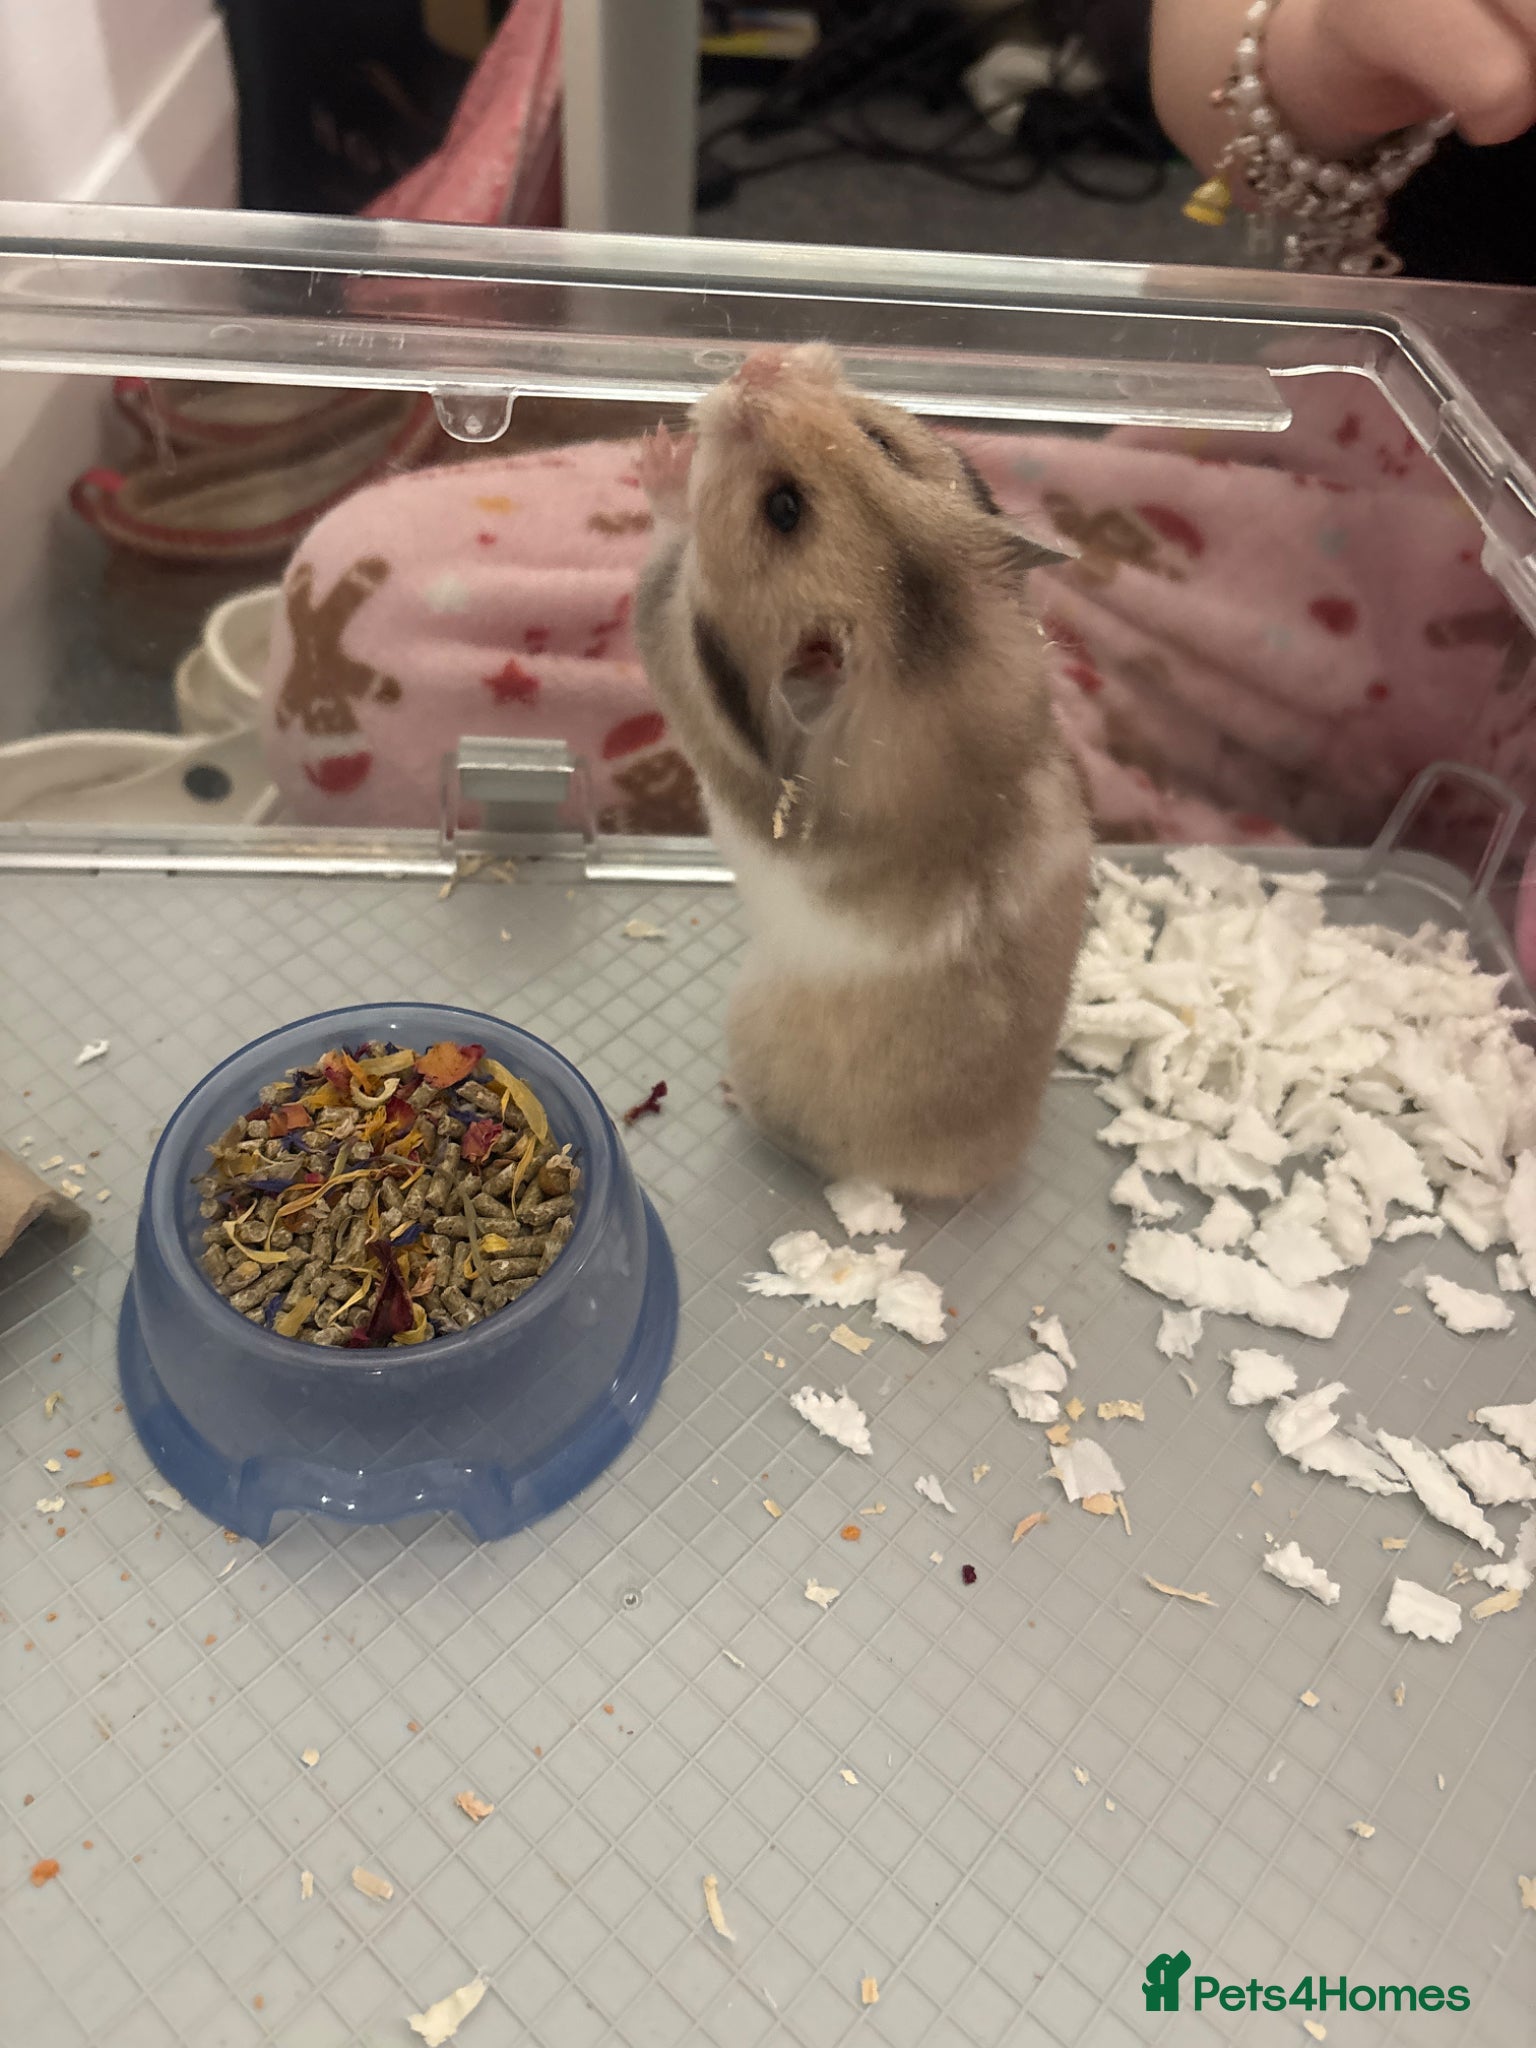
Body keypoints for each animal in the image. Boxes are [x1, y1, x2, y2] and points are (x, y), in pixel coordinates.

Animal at [634, 342, 1091, 1200]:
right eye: (880, 438)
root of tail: (977, 1171)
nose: (760, 363)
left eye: (784, 509)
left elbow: (669, 575)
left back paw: (730, 1093)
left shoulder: (695, 676)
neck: (927, 672)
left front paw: (659, 458)